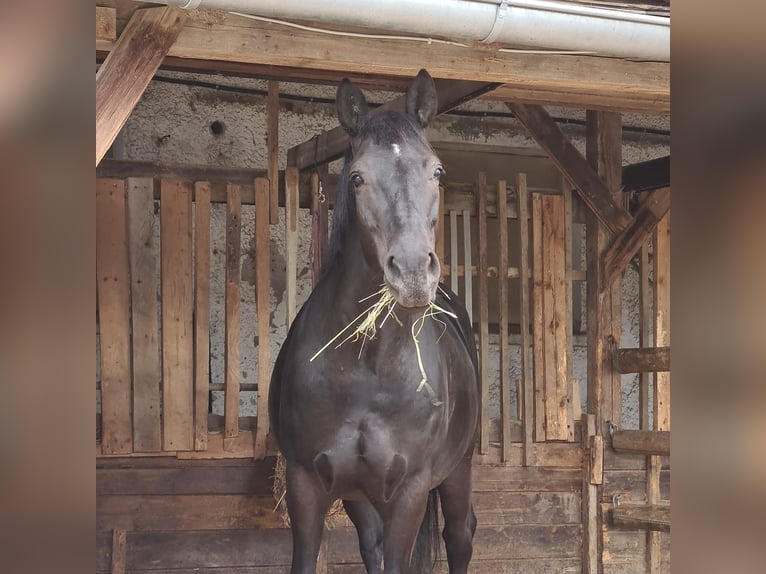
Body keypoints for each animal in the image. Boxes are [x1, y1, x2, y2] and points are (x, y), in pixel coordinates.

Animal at [272, 72, 480, 574]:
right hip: (359, 495)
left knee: (460, 536)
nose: (412, 272)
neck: (368, 368)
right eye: (357, 177)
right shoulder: (307, 486)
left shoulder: (408, 493)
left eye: (437, 171)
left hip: (458, 468)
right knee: (372, 544)